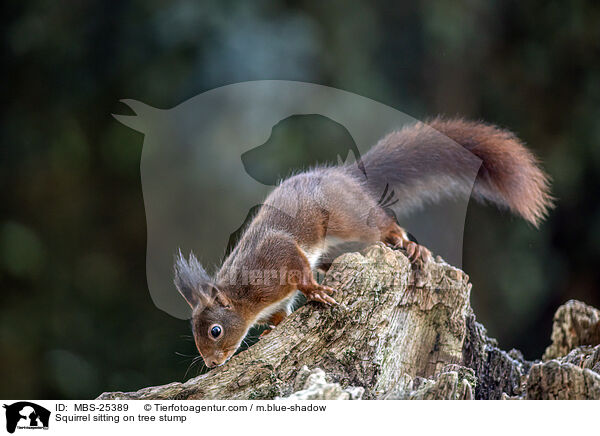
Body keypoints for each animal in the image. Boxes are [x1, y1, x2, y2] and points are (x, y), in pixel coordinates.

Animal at [173, 117, 552, 366]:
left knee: (382, 224)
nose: (211, 365)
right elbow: (281, 315)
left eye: (215, 331)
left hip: (349, 218)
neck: (244, 299)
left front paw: (316, 291)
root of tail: (347, 177)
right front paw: (269, 332)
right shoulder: (273, 301)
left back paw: (405, 242)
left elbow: (298, 271)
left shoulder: (275, 256)